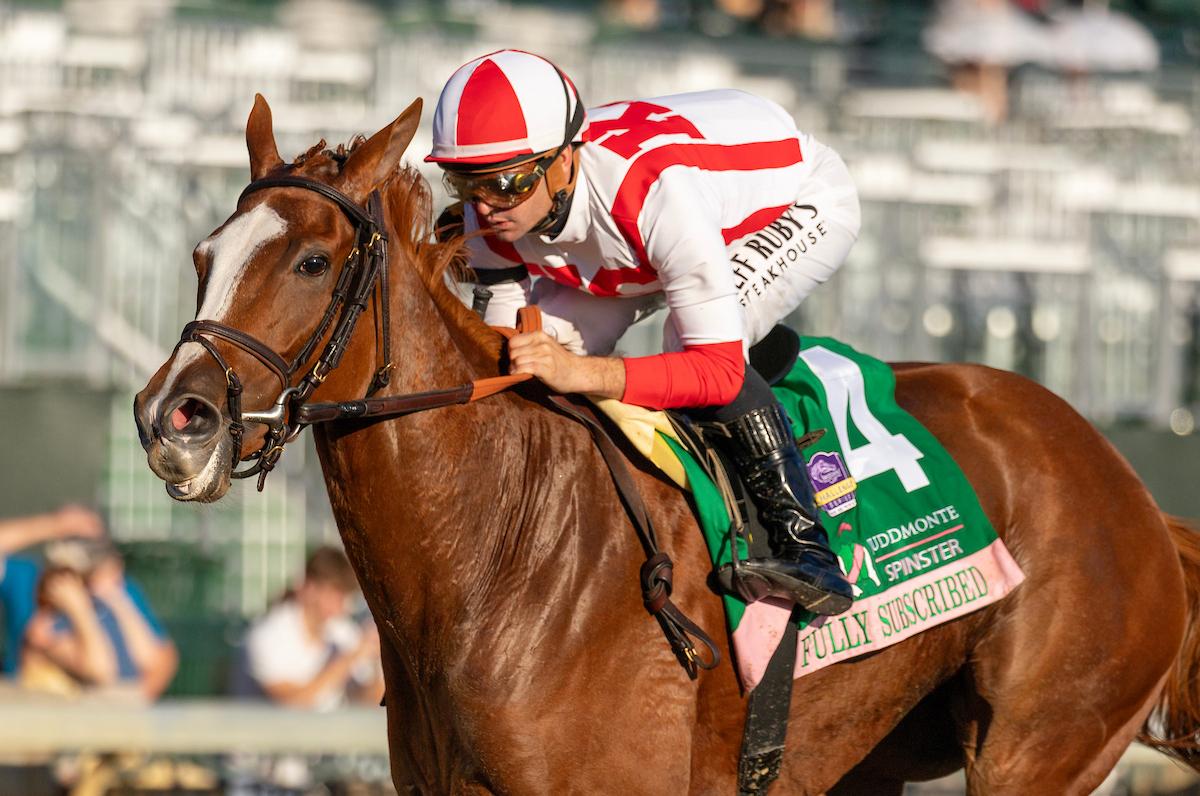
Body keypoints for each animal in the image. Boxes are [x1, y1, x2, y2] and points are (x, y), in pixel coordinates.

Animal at [134, 95, 1200, 794]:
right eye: (201, 255)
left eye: (314, 261)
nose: (173, 420)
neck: (499, 554)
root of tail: (1129, 486)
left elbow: (716, 362)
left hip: (1037, 744)